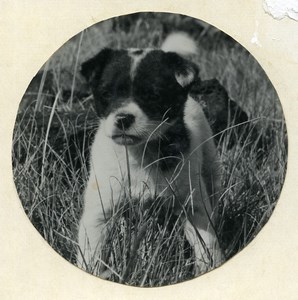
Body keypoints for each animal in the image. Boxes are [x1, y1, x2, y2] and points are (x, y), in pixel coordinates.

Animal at [77, 32, 224, 276]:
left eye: (153, 96)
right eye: (106, 94)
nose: (123, 118)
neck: (140, 154)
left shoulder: (194, 206)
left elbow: (207, 244)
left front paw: (210, 267)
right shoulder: (100, 211)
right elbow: (91, 252)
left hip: (210, 167)